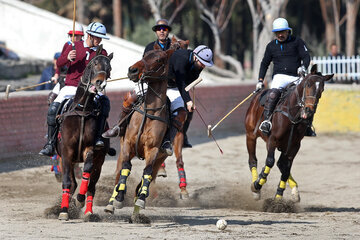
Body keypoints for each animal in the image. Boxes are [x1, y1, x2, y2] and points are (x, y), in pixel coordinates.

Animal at [56, 46, 113, 220]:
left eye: (109, 68)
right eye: (94, 63)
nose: (100, 83)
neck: (82, 110)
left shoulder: (90, 149)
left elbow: (87, 170)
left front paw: (80, 199)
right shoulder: (66, 152)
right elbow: (67, 182)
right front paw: (64, 211)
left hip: (100, 161)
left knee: (92, 185)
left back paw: (88, 211)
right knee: (72, 182)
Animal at [243, 64, 334, 202]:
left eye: (322, 89)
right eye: (308, 84)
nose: (309, 110)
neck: (293, 116)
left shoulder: (295, 145)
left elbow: (286, 168)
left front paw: (278, 196)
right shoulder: (272, 140)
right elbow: (270, 161)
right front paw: (258, 184)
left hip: (284, 145)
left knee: (281, 164)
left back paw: (295, 191)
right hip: (251, 136)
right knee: (253, 160)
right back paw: (256, 190)